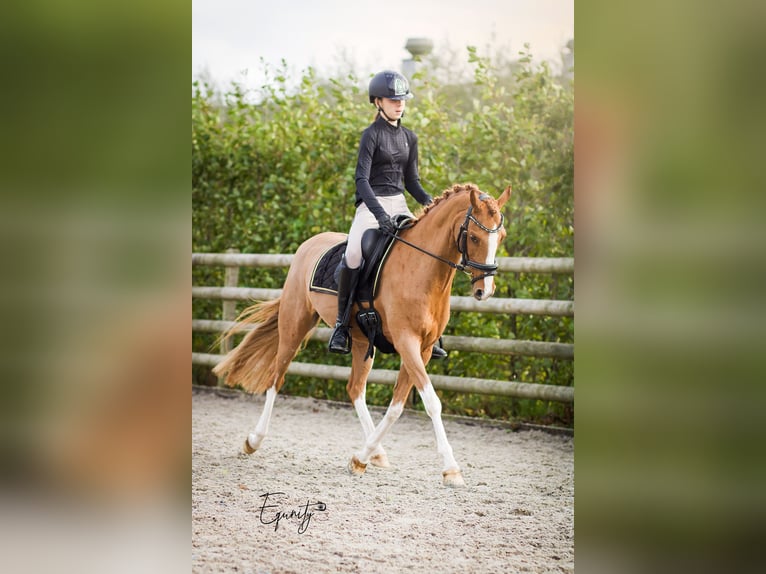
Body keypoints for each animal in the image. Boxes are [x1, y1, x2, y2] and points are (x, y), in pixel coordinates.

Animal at [213, 183, 511, 487]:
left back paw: (376, 453)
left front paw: (360, 458)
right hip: (294, 324)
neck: (421, 269)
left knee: (355, 388)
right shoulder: (407, 343)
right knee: (276, 378)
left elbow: (396, 406)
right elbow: (432, 403)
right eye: (473, 237)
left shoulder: (424, 349)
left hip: (360, 341)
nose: (484, 291)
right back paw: (253, 440)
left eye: (501, 236)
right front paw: (451, 469)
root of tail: (310, 244)